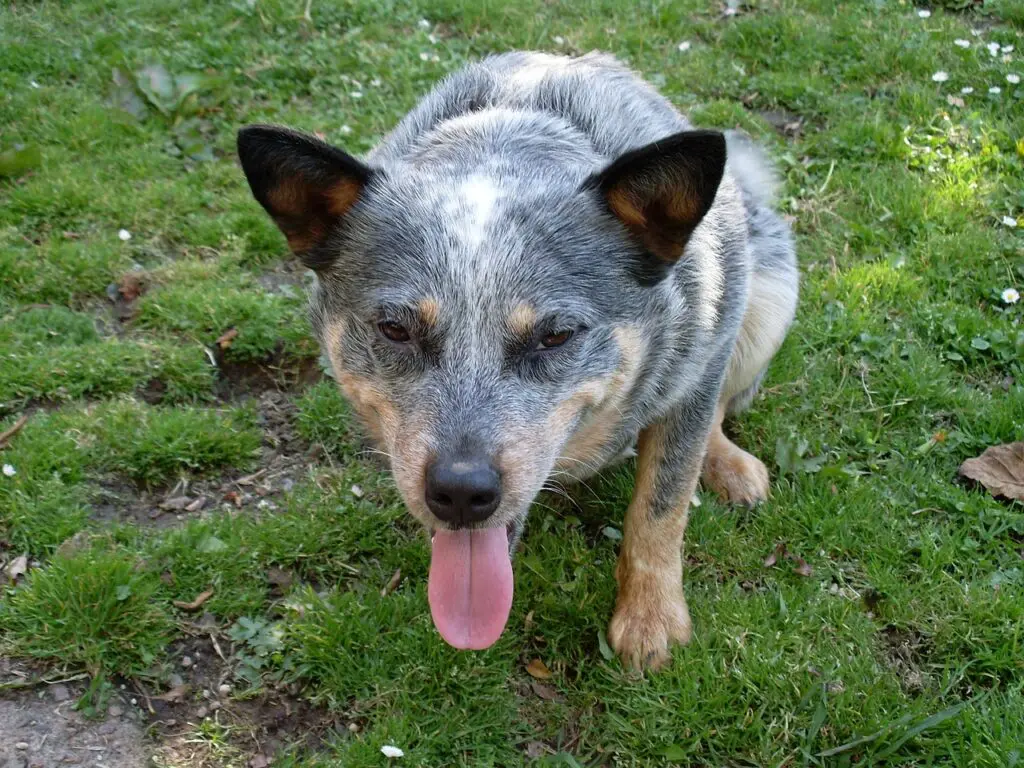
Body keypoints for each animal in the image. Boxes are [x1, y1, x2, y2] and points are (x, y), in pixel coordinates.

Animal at [239, 51, 798, 671]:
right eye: (394, 330)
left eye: (555, 336)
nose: (462, 491)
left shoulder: (700, 359)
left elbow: (662, 504)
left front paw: (650, 619)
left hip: (768, 294)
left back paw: (728, 464)